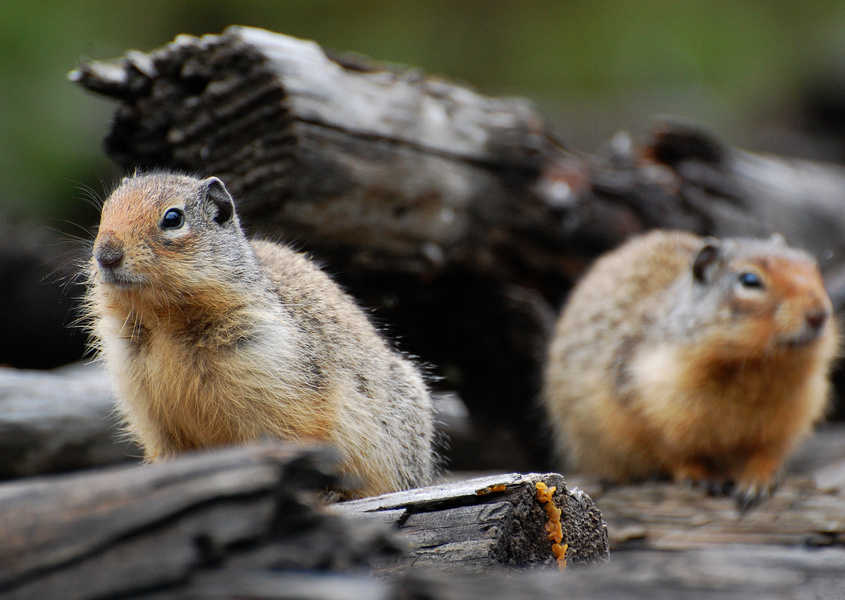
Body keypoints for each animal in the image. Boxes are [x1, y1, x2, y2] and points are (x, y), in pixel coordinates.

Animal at [540, 229, 836, 506]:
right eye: (749, 280)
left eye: (813, 266)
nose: (819, 315)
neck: (758, 368)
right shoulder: (641, 407)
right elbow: (671, 452)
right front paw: (700, 477)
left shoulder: (788, 418)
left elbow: (768, 451)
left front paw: (758, 480)